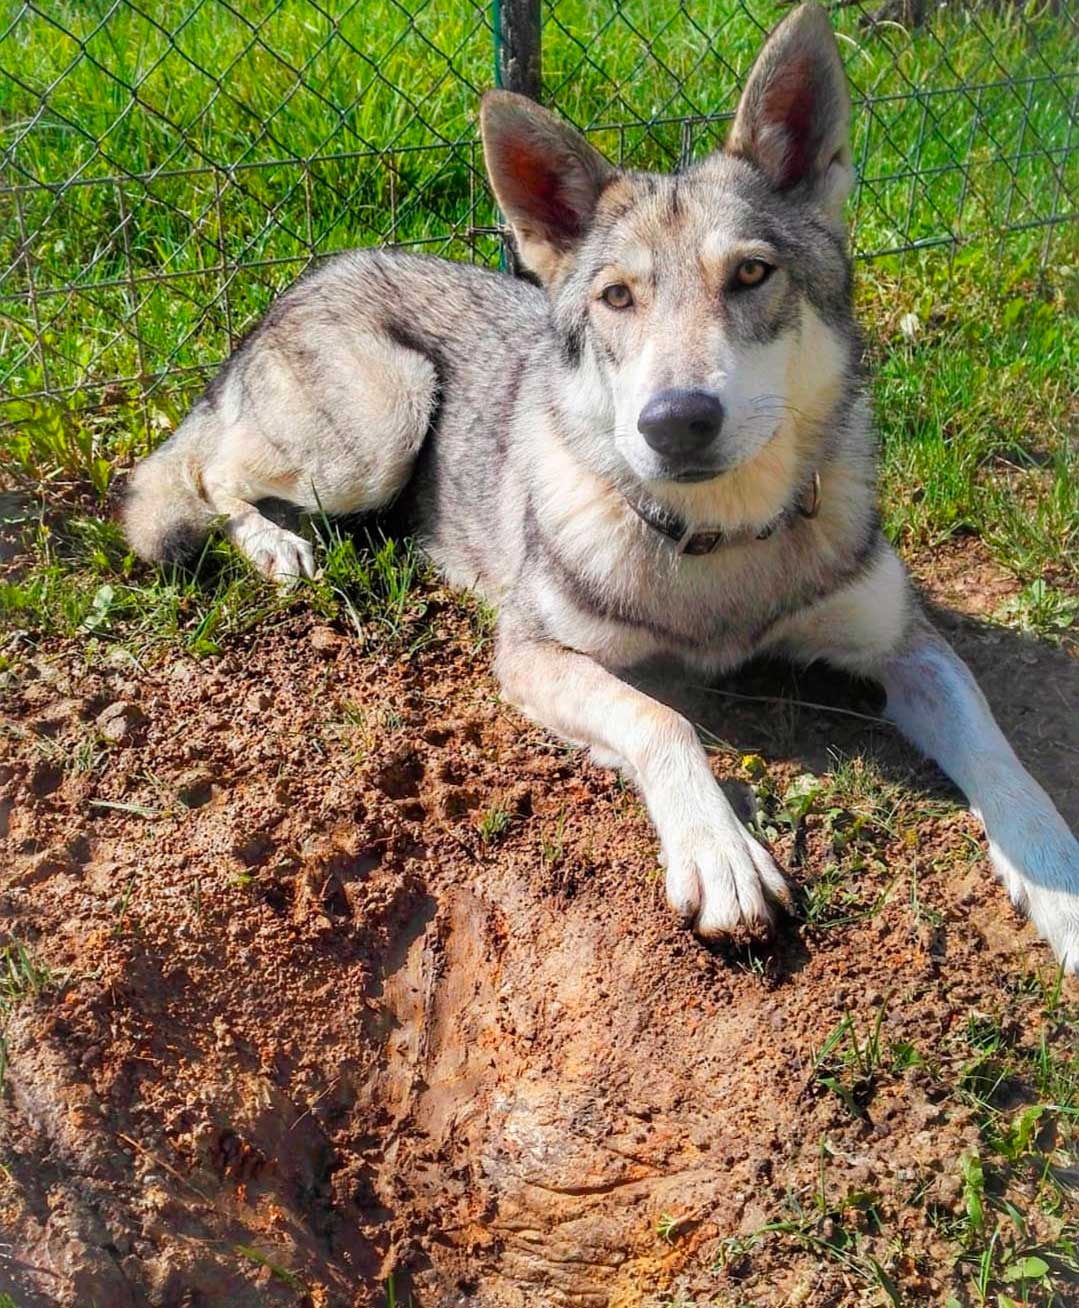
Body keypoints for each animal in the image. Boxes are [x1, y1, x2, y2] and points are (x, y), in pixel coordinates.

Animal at [119, 5, 1077, 973]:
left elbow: (1004, 758)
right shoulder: (532, 655)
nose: (676, 420)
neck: (721, 544)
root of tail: (306, 278)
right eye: (618, 297)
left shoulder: (909, 648)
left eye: (751, 274)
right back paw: (277, 545)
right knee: (204, 470)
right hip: (379, 428)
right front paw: (721, 855)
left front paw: (1058, 884)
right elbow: (662, 721)